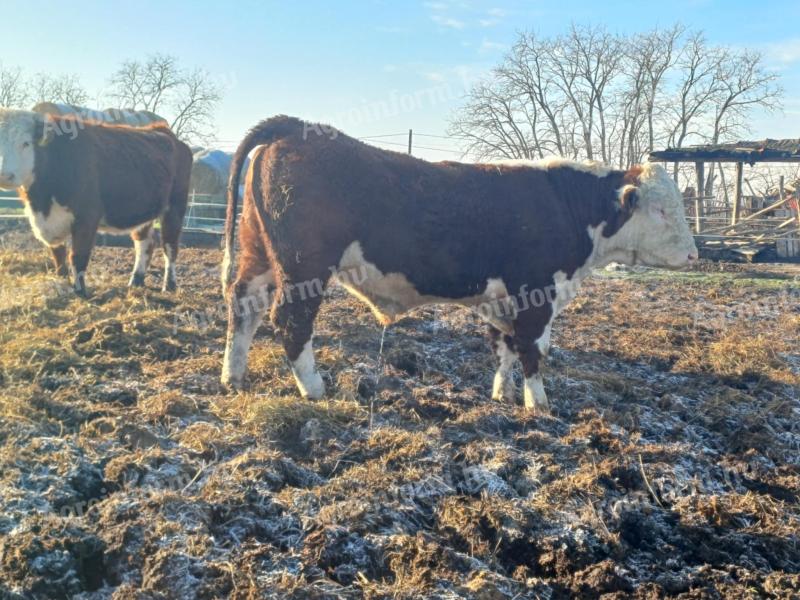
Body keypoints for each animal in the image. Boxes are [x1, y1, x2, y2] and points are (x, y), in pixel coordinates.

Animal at [0, 109, 193, 296]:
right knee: (145, 244)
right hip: (144, 211)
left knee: (170, 247)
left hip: (175, 208)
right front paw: (61, 283)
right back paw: (136, 281)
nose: (4, 175)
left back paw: (169, 285)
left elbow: (77, 256)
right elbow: (58, 255)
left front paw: (81, 292)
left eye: (26, 143)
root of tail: (163, 130)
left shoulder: (87, 217)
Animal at [220, 114, 700, 410]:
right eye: (661, 210)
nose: (695, 254)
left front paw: (502, 396)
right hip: (305, 266)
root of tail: (296, 125)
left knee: (244, 306)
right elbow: (533, 349)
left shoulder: (504, 299)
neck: (570, 207)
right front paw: (538, 403)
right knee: (291, 320)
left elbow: (506, 348)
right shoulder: (535, 292)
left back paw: (233, 378)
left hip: (259, 254)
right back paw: (315, 389)